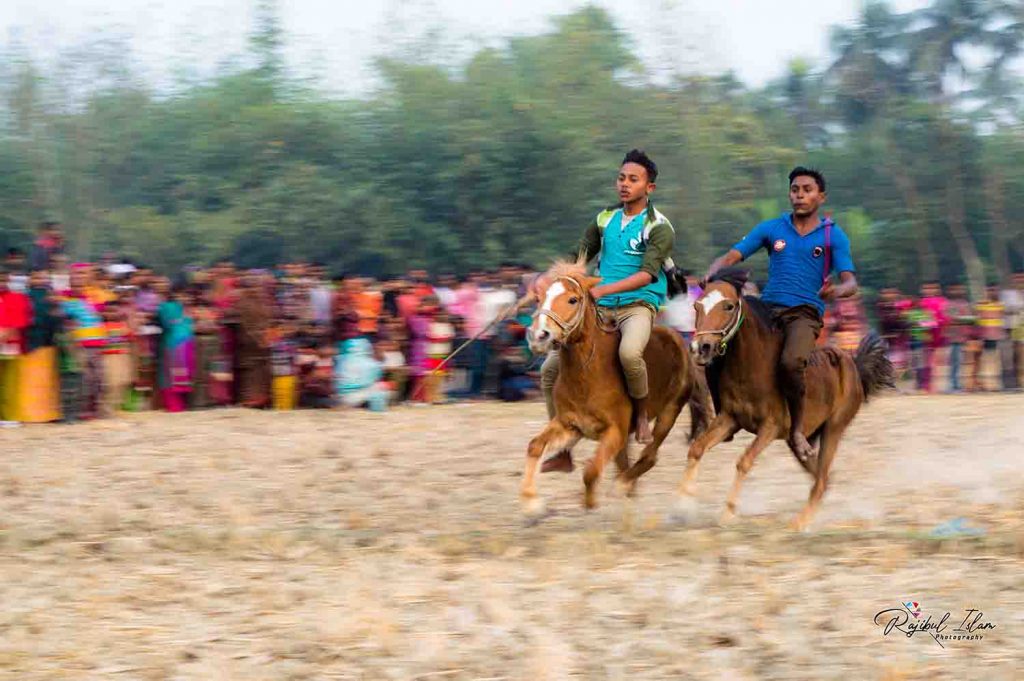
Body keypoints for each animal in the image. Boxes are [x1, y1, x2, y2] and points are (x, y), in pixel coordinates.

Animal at [520, 260, 712, 516]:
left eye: (573, 300)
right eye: (540, 297)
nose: (538, 336)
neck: (587, 373)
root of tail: (682, 342)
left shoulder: (614, 432)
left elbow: (591, 471)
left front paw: (590, 504)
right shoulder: (570, 426)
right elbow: (535, 446)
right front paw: (531, 501)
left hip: (669, 412)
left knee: (649, 457)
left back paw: (622, 486)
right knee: (626, 463)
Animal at [679, 268, 897, 528]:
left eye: (729, 306)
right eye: (697, 306)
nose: (700, 348)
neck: (751, 365)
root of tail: (854, 364)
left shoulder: (771, 426)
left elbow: (744, 461)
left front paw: (728, 513)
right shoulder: (730, 419)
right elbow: (696, 449)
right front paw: (682, 506)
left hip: (834, 427)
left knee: (821, 479)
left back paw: (799, 524)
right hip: (799, 441)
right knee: (822, 477)